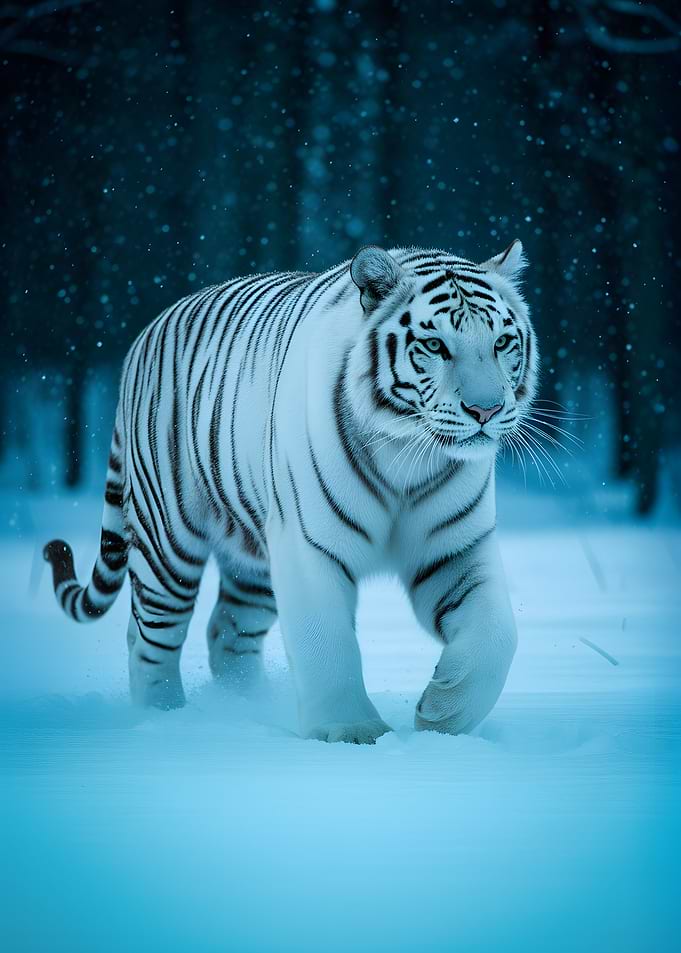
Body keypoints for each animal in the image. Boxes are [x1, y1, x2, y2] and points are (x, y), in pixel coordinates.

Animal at [44, 240, 537, 744]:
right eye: (435, 345)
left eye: (501, 343)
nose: (486, 409)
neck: (407, 456)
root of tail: (144, 336)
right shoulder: (310, 544)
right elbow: (326, 641)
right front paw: (352, 730)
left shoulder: (456, 550)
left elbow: (497, 633)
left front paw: (442, 715)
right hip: (168, 543)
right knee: (150, 640)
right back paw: (165, 720)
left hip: (252, 560)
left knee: (227, 631)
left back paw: (244, 707)